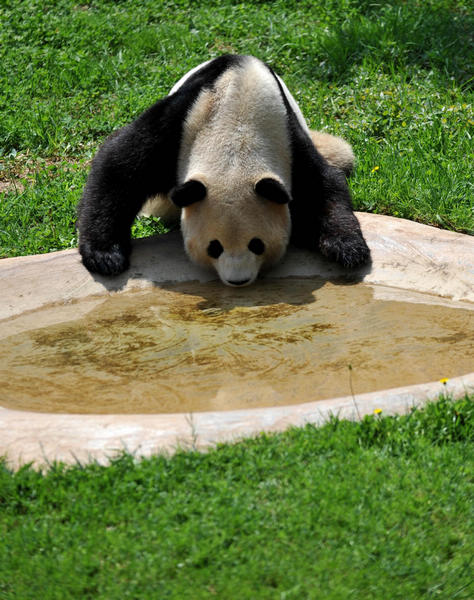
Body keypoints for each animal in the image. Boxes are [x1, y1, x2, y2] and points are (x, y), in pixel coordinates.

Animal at [78, 55, 368, 288]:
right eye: (214, 247)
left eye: (257, 244)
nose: (237, 280)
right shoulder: (180, 126)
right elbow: (120, 165)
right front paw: (105, 256)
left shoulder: (289, 141)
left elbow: (322, 186)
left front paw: (349, 248)